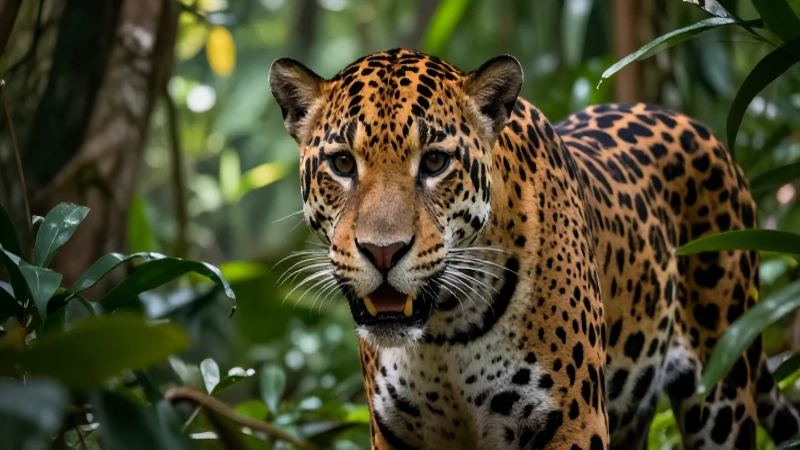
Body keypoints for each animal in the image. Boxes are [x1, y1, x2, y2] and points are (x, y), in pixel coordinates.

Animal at [268, 48, 800, 450]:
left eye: (436, 162)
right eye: (342, 164)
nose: (383, 252)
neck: (444, 332)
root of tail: (695, 124)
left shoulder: (570, 421)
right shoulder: (396, 432)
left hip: (723, 387)